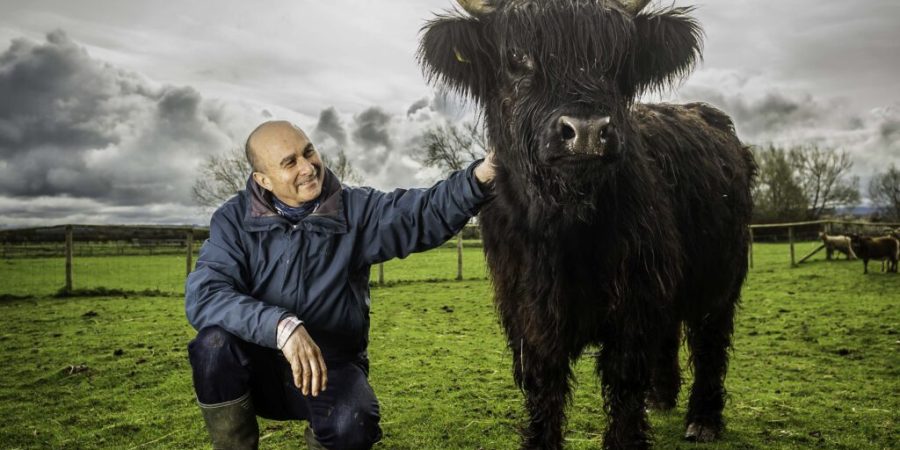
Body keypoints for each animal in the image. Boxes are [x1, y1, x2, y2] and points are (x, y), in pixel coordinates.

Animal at [418, 0, 756, 450]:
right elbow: (543, 385)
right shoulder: (526, 312)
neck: (565, 227)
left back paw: (703, 419)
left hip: (720, 276)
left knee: (709, 341)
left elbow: (624, 381)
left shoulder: (634, 303)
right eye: (517, 57)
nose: (586, 132)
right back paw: (661, 397)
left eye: (617, 58)